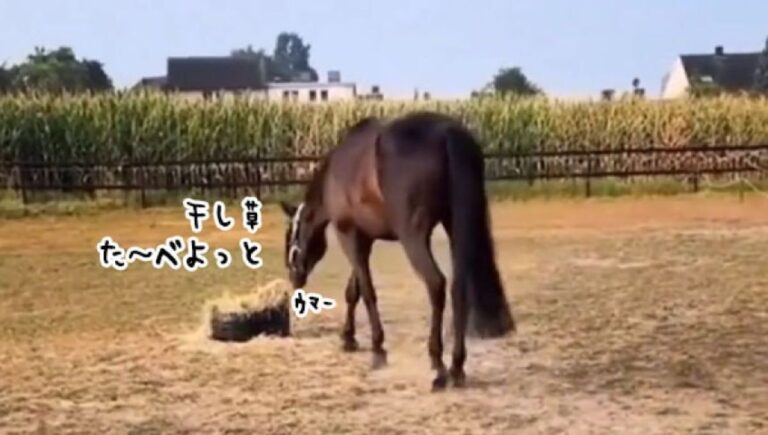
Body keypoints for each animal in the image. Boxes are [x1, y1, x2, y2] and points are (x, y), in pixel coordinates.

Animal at [279, 111, 515, 390]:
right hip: (456, 225)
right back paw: (457, 367)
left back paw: (438, 366)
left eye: (291, 236)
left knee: (436, 284)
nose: (294, 277)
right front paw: (348, 338)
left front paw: (377, 350)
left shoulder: (350, 236)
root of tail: (447, 133)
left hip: (413, 237)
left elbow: (367, 292)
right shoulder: (365, 239)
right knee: (459, 289)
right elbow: (353, 290)